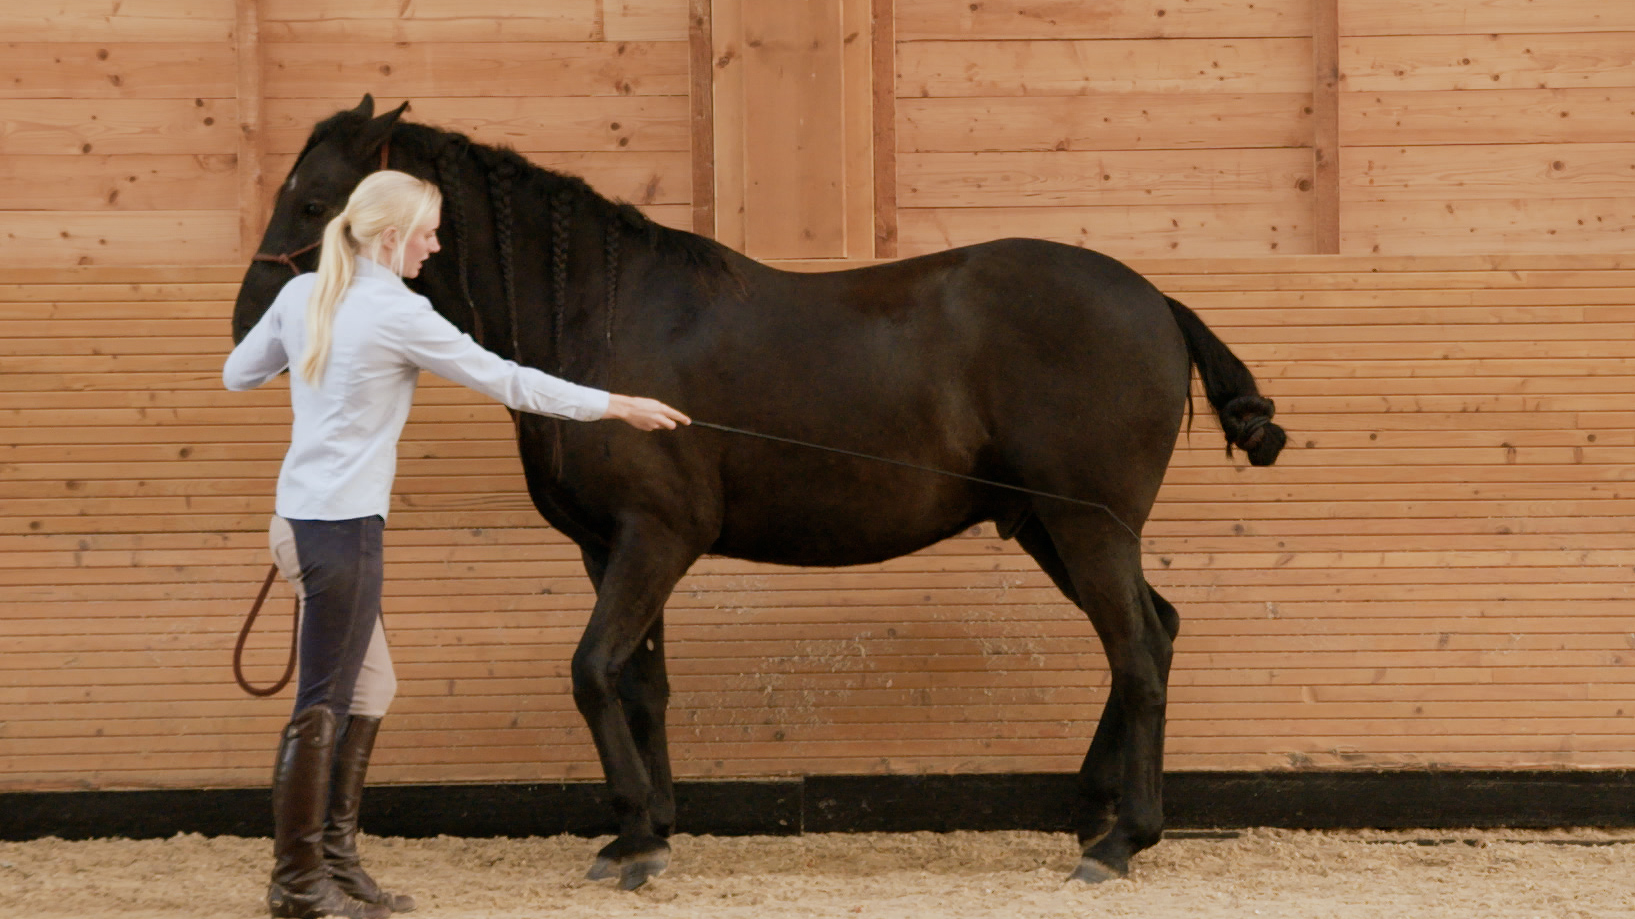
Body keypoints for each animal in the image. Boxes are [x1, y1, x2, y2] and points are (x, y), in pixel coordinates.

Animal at [233, 95, 1287, 890]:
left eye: (315, 197)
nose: (250, 321)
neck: (603, 317)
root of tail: (1156, 302)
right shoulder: (610, 547)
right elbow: (640, 681)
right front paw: (649, 829)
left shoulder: (658, 537)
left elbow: (590, 669)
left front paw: (634, 834)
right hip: (1051, 528)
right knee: (1153, 633)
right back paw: (1093, 811)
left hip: (1085, 525)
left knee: (1138, 651)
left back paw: (1122, 840)